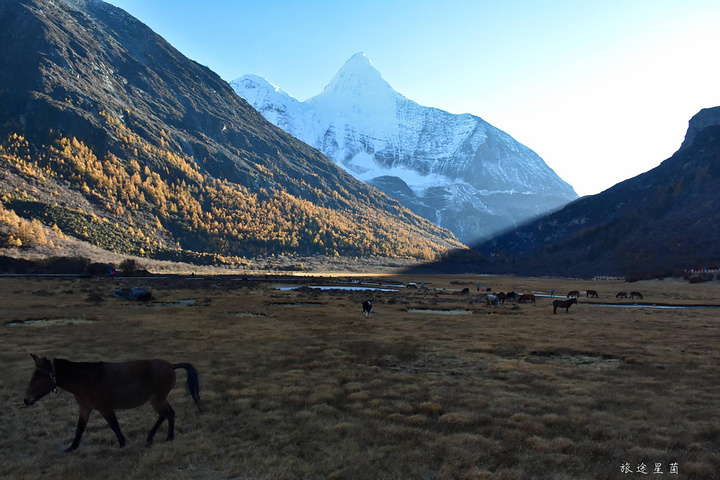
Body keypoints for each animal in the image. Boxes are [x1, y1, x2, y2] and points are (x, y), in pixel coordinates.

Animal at [23, 354, 201, 452]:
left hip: (156, 399)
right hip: (162, 398)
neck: (85, 379)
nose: (26, 400)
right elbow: (80, 428)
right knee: (170, 414)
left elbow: (114, 425)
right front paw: (72, 448)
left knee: (165, 414)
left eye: (38, 377)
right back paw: (169, 437)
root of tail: (171, 365)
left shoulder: (104, 407)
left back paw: (151, 438)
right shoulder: (85, 408)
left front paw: (122, 443)